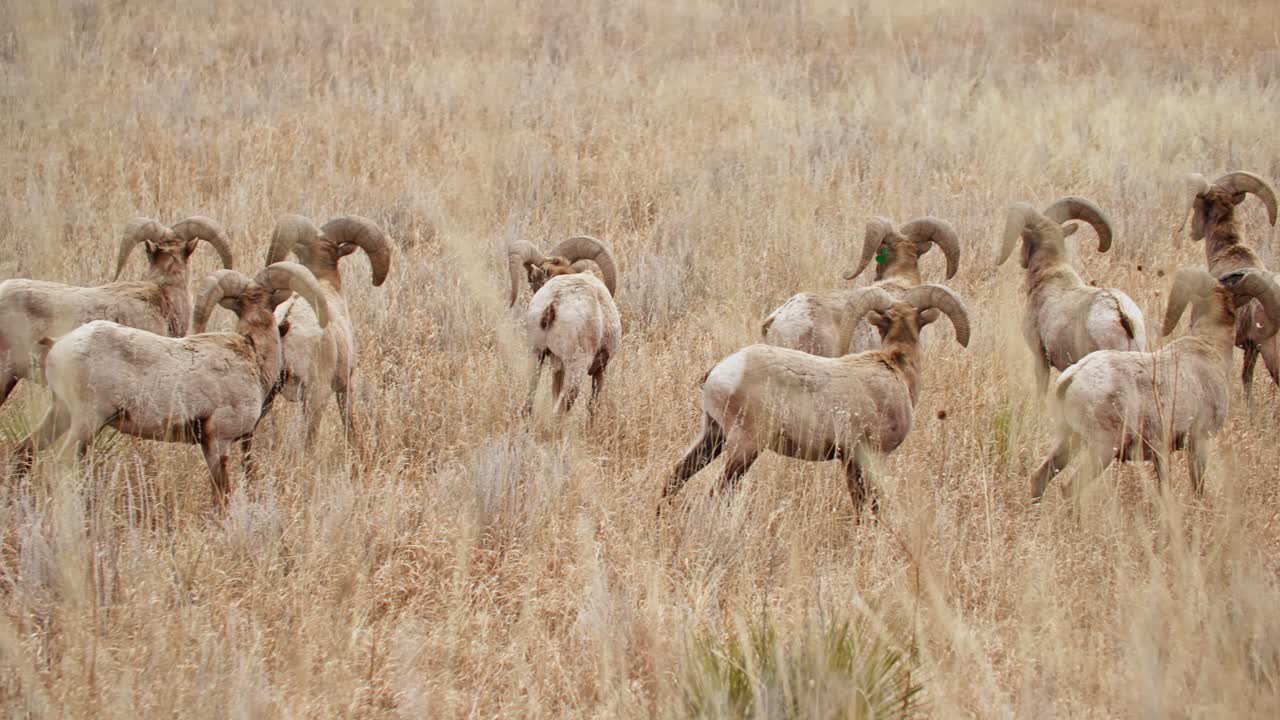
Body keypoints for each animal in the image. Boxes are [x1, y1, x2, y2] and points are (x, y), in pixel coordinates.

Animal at [11, 262, 329, 507]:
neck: (252, 355)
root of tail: (58, 346)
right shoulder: (218, 441)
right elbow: (222, 495)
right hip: (86, 421)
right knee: (57, 465)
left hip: (60, 414)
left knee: (23, 451)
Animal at [508, 236, 620, 418]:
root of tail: (553, 302)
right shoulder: (601, 369)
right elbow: (592, 408)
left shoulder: (557, 365)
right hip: (576, 367)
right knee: (560, 409)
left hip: (536, 354)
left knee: (529, 402)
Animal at [660, 284, 970, 517]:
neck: (895, 367)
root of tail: (720, 372)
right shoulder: (873, 457)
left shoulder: (850, 462)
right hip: (744, 447)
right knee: (717, 491)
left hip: (713, 437)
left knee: (674, 477)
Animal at [1029, 268, 1280, 502]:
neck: (1210, 348)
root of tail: (1072, 377)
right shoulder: (1199, 442)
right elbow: (1198, 489)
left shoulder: (1162, 454)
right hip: (1102, 449)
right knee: (1069, 488)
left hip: (1069, 440)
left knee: (1039, 478)